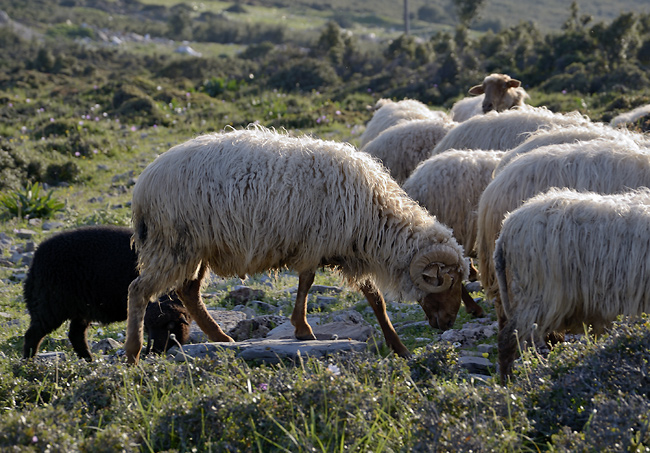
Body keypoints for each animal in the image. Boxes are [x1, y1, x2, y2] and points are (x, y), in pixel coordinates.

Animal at [22, 226, 190, 360]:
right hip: (51, 305)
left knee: (76, 334)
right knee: (33, 334)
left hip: (81, 308)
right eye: (148, 327)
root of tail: (35, 262)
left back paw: (88, 359)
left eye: (170, 326)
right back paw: (28, 361)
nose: (152, 352)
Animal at [124, 126, 468, 364]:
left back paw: (221, 338)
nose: (449, 323)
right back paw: (132, 353)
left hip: (199, 248)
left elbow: (375, 301)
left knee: (189, 293)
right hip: (174, 244)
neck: (374, 216)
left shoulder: (346, 250)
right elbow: (307, 283)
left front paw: (399, 347)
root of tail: (144, 184)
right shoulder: (316, 242)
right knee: (139, 290)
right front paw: (303, 329)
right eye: (448, 282)